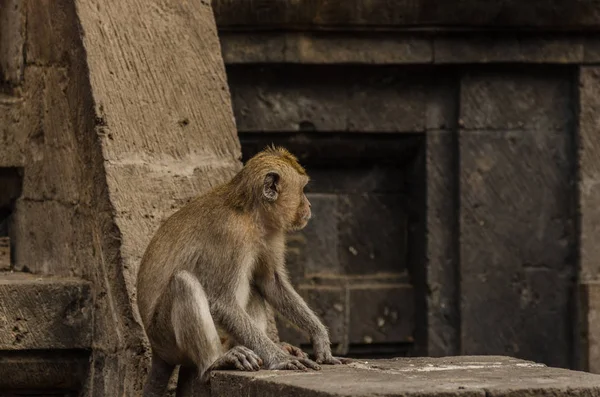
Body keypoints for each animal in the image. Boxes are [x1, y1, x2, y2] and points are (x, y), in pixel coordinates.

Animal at [135, 145, 346, 396]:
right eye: (302, 190)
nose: (310, 206)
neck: (250, 214)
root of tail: (157, 352)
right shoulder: (230, 234)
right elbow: (222, 302)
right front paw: (280, 359)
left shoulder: (271, 234)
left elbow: (270, 283)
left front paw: (319, 337)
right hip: (165, 337)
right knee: (183, 283)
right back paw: (215, 362)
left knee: (254, 288)